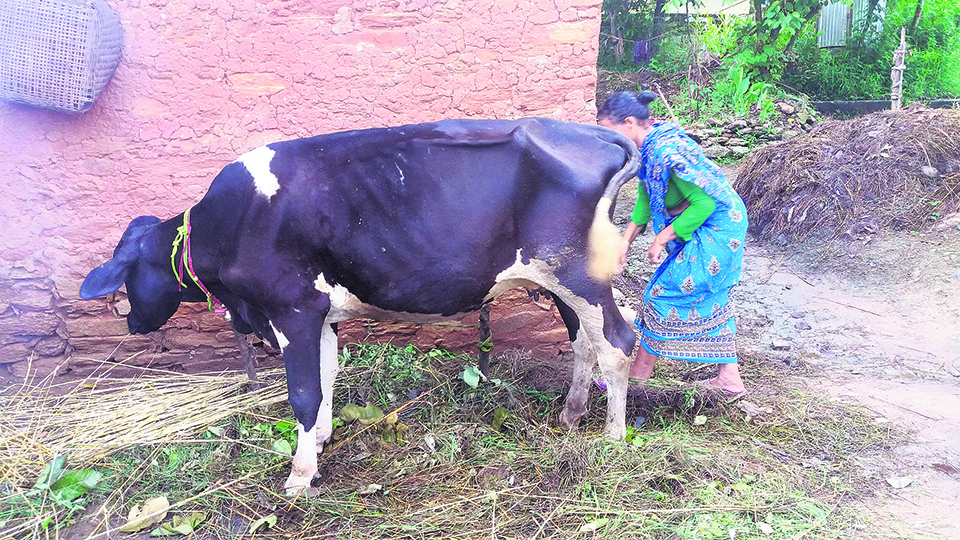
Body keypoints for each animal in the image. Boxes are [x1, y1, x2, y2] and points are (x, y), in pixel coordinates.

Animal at [79, 117, 640, 494]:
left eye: (127, 279)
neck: (229, 224)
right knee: (583, 342)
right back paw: (570, 416)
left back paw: (613, 438)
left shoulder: (293, 309)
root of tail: (591, 133)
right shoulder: (319, 316)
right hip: (562, 281)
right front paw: (322, 441)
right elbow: (326, 378)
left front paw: (300, 476)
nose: (131, 323)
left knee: (618, 341)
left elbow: (304, 393)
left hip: (578, 275)